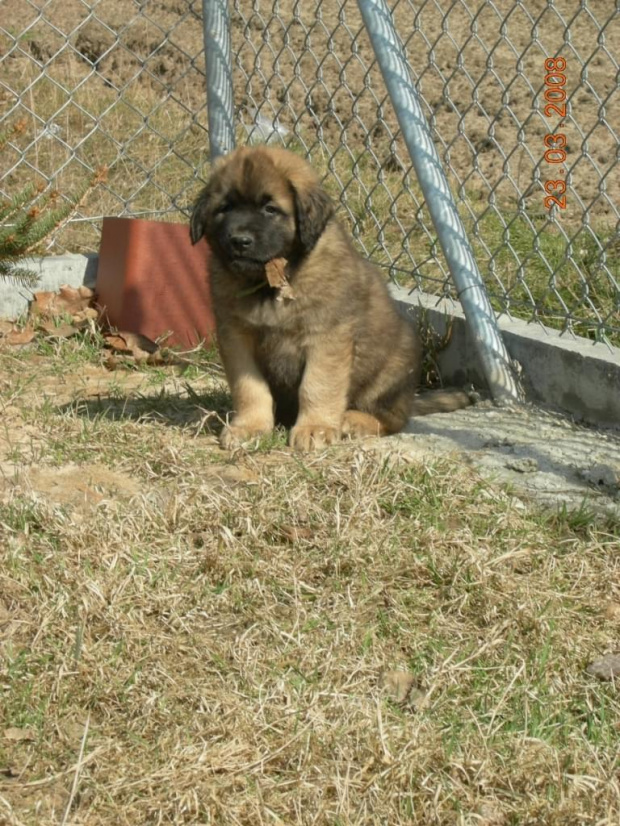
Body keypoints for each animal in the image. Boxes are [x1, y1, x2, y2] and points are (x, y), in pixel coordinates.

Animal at [189, 145, 470, 448]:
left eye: (270, 209)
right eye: (224, 208)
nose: (239, 241)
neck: (272, 282)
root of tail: (408, 401)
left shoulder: (326, 336)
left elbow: (317, 385)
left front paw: (316, 428)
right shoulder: (237, 337)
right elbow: (250, 388)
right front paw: (249, 427)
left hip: (393, 366)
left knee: (391, 419)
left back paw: (353, 420)